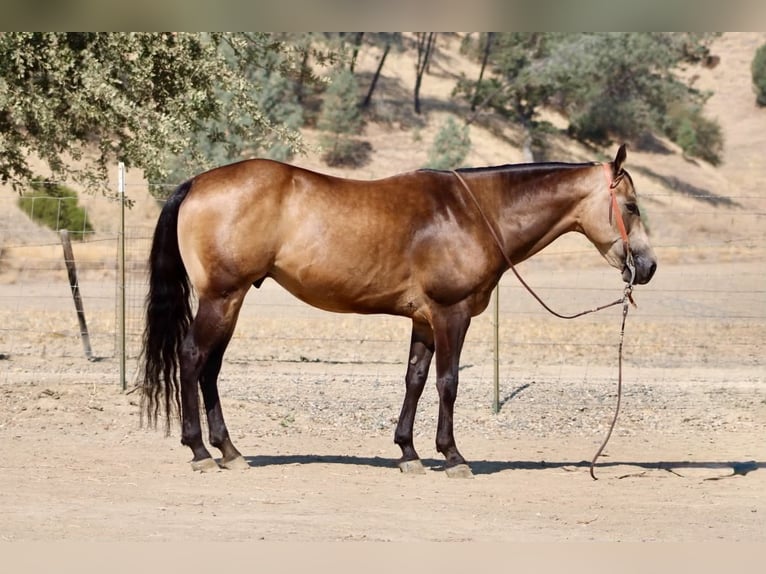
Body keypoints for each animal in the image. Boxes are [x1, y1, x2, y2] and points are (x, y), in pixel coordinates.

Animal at [141, 144, 657, 477]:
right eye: (631, 206)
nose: (648, 266)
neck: (473, 212)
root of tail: (196, 183)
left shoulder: (423, 320)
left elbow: (415, 379)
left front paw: (408, 453)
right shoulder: (451, 315)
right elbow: (448, 383)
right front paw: (452, 456)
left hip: (232, 300)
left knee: (210, 369)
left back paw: (229, 450)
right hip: (221, 298)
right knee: (192, 358)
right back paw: (200, 451)